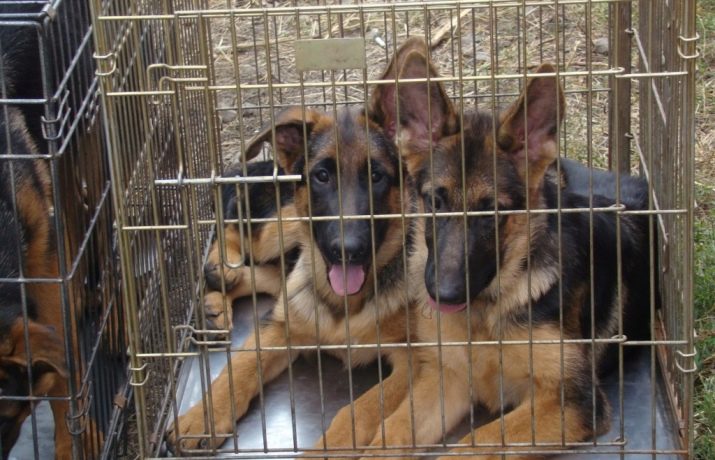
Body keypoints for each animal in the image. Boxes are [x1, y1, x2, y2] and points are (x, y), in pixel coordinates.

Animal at [165, 39, 446, 454]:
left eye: (377, 176)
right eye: (322, 176)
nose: (347, 250)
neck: (345, 306)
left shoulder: (414, 359)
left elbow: (356, 411)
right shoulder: (281, 328)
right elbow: (238, 369)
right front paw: (201, 417)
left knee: (266, 276)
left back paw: (216, 303)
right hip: (282, 230)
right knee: (237, 234)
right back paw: (221, 272)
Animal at [347, 40, 654, 459]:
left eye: (491, 212)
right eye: (435, 201)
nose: (443, 295)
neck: (486, 311)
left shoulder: (572, 401)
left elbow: (478, 442)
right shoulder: (446, 379)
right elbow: (392, 431)